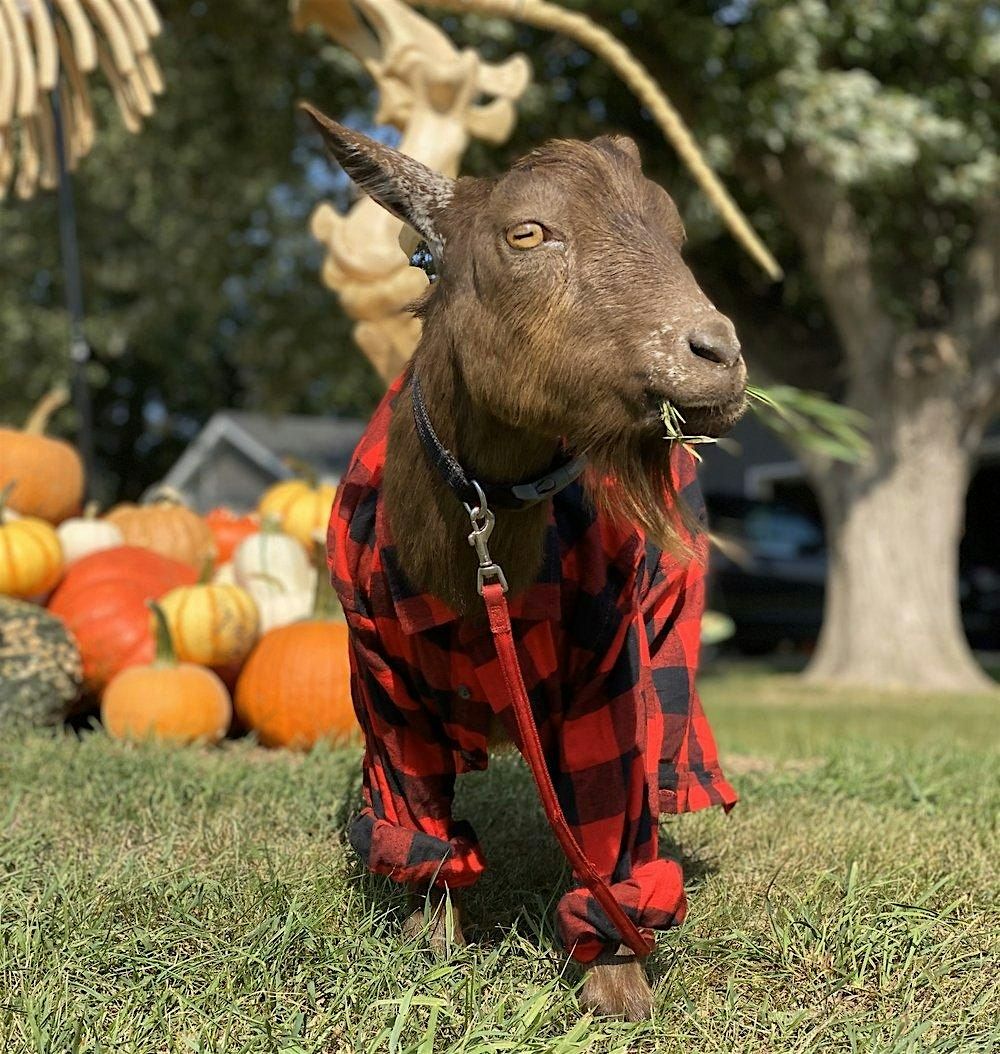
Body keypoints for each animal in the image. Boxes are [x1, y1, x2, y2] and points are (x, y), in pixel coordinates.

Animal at [306, 102, 745, 1021]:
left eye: (676, 232)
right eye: (529, 232)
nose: (716, 356)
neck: (469, 554)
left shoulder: (611, 668)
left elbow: (615, 806)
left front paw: (617, 976)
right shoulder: (384, 682)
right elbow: (417, 816)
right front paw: (433, 938)